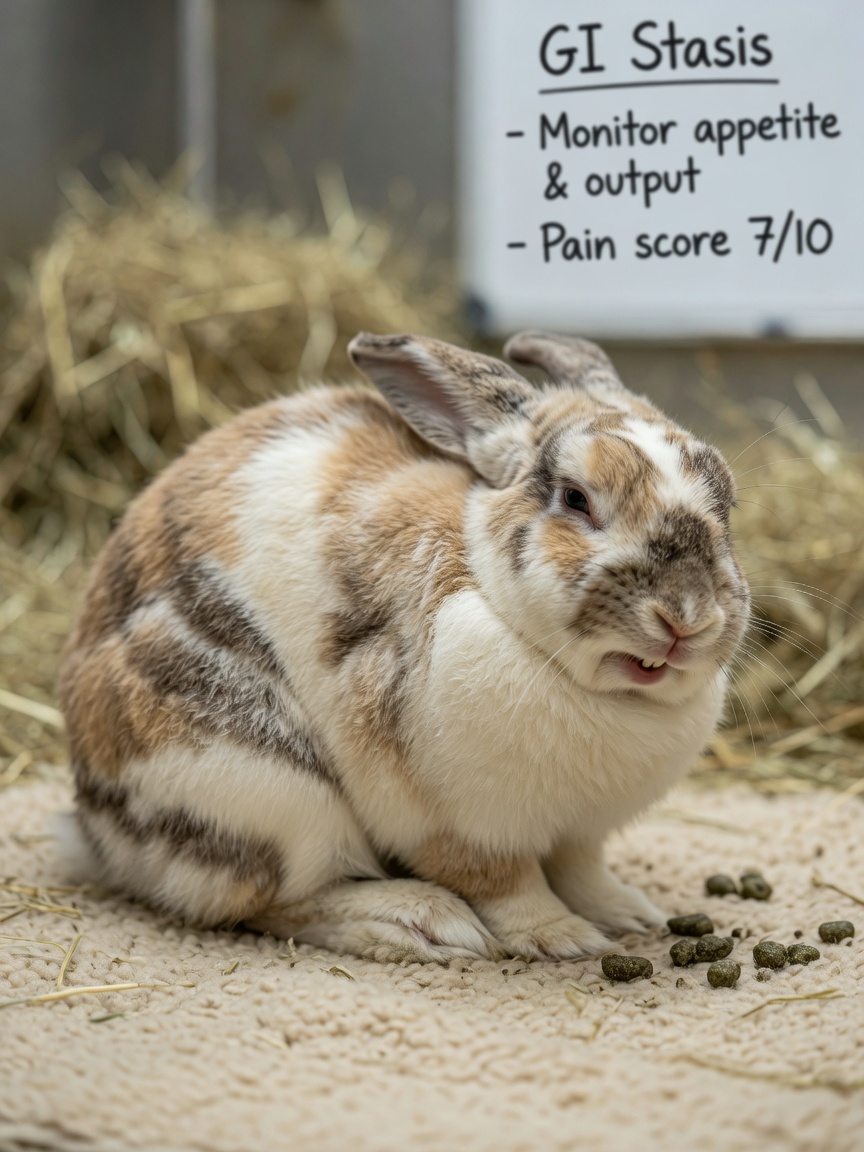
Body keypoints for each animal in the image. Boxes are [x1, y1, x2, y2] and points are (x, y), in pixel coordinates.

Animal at [57, 330, 750, 964]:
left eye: (727, 504)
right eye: (576, 499)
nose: (686, 617)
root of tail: (95, 831)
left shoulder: (580, 833)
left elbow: (583, 871)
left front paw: (627, 913)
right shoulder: (455, 824)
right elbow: (508, 887)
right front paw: (563, 938)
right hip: (268, 794)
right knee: (273, 901)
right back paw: (417, 923)